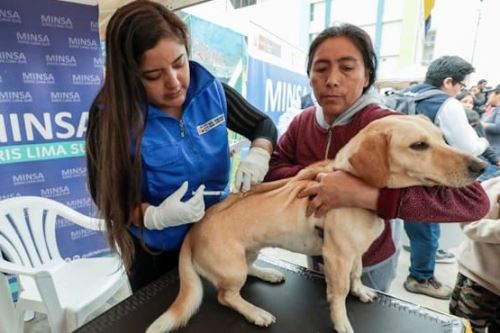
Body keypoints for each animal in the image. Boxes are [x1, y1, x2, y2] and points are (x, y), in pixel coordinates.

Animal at [146, 115, 486, 332]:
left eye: (442, 138)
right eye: (419, 145)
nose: (481, 166)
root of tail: (193, 232)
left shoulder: (354, 254)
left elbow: (357, 275)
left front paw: (361, 292)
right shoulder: (336, 257)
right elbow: (339, 294)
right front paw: (343, 323)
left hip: (248, 254)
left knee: (247, 273)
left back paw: (268, 273)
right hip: (232, 269)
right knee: (226, 295)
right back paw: (256, 313)